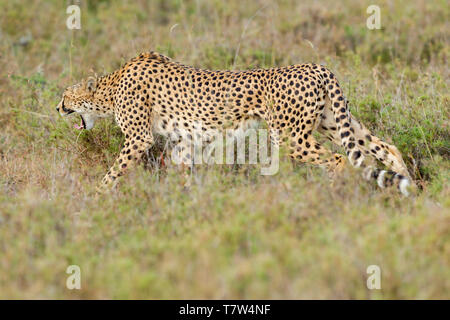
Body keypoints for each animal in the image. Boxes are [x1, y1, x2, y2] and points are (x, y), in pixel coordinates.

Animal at [57, 52, 414, 195]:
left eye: (65, 95)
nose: (58, 107)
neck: (111, 85)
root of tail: (316, 66)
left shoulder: (138, 139)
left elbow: (113, 172)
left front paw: (95, 199)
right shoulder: (183, 142)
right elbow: (182, 173)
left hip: (291, 136)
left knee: (338, 160)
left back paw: (331, 197)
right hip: (332, 122)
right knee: (385, 148)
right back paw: (411, 192)